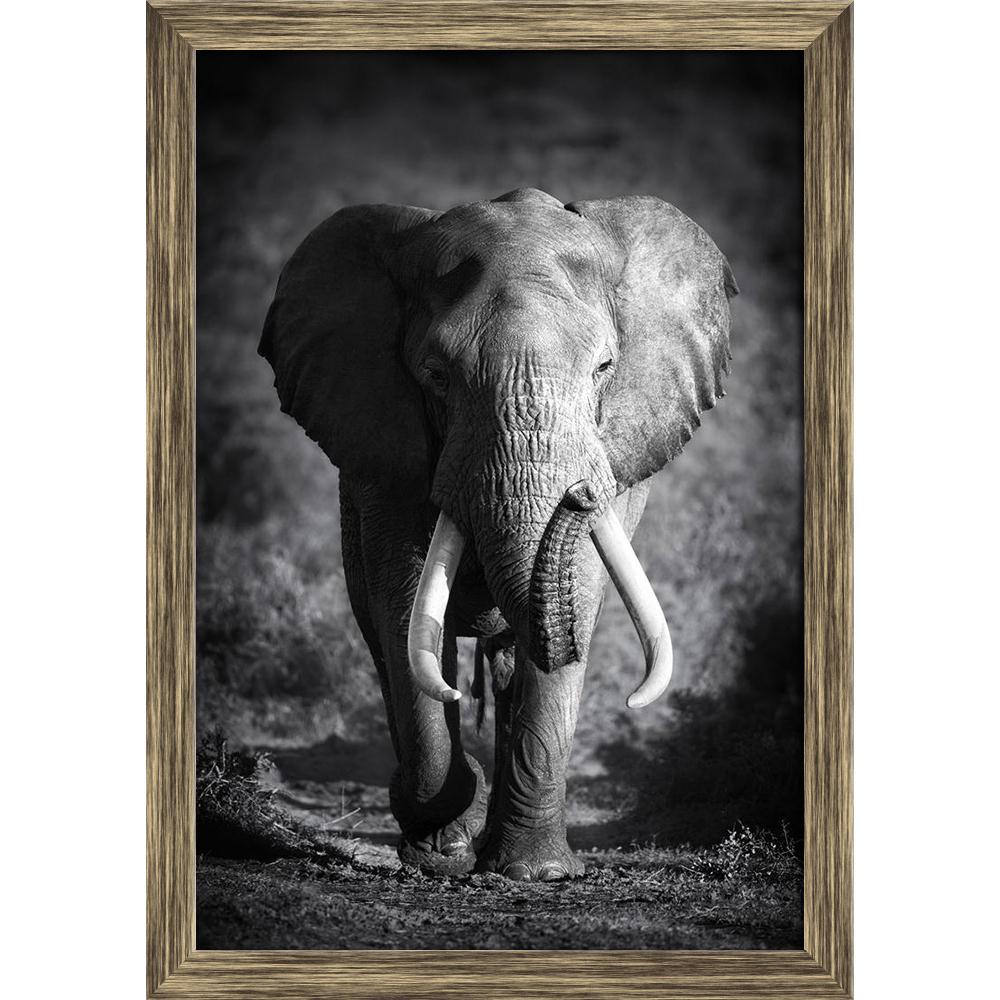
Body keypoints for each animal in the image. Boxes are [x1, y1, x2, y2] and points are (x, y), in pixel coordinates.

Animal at [260, 187, 737, 881]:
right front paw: (440, 848)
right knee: (383, 639)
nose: (580, 494)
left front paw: (535, 873)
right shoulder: (384, 453)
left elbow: (578, 596)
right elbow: (403, 605)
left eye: (605, 368)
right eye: (435, 374)